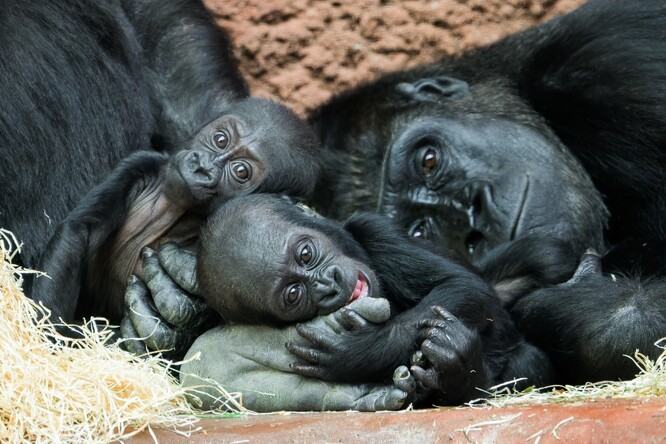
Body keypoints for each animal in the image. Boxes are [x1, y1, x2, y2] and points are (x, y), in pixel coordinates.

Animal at [33, 97, 320, 324]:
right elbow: (81, 229)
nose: (202, 167)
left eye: (241, 171)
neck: (175, 204)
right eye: (220, 139)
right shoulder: (139, 163)